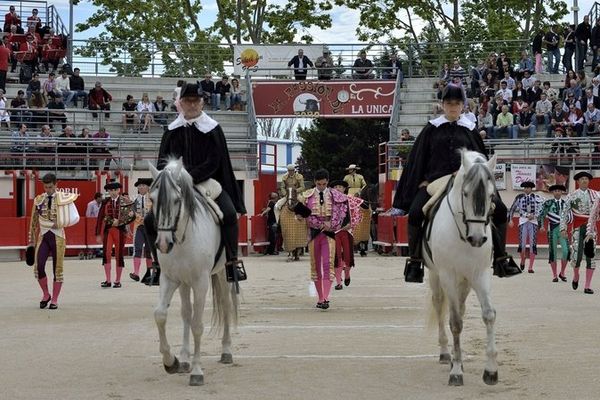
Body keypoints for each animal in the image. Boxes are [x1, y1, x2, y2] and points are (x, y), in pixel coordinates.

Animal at [149, 158, 238, 386]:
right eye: (152, 199)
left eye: (177, 200)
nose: (163, 244)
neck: (182, 239)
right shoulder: (170, 279)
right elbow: (160, 315)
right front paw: (171, 362)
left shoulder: (201, 283)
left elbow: (198, 325)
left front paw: (197, 372)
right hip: (184, 283)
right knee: (186, 314)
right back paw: (184, 359)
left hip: (222, 275)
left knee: (226, 306)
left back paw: (226, 351)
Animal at [424, 149, 500, 384]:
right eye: (465, 194)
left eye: (492, 196)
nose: (477, 238)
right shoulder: (447, 274)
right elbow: (455, 321)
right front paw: (456, 371)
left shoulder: (480, 275)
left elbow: (489, 315)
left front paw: (491, 370)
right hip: (435, 275)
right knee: (439, 304)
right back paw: (445, 354)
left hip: (465, 281)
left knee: (461, 306)